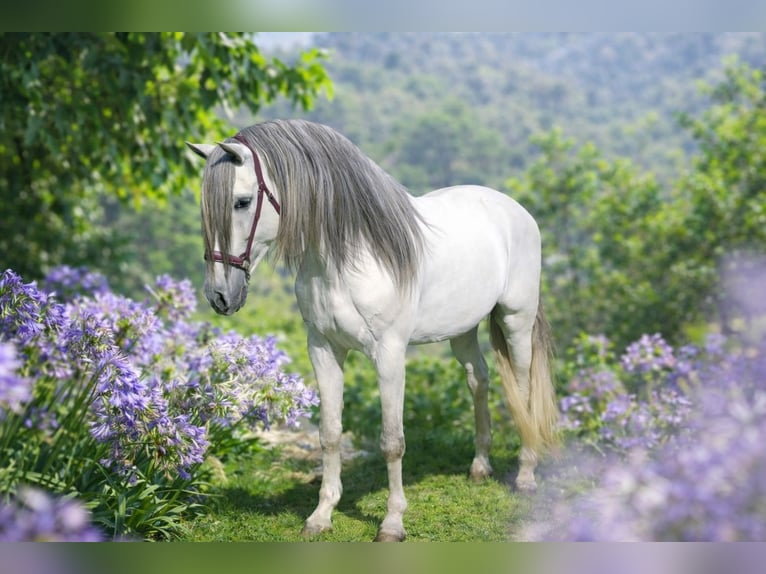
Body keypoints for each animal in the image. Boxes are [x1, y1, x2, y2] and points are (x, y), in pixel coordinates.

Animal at [186, 119, 558, 542]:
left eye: (242, 202)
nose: (219, 295)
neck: (349, 258)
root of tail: (514, 210)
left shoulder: (390, 355)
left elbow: (392, 441)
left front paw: (392, 523)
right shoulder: (324, 349)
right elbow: (330, 432)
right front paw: (321, 515)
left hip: (516, 320)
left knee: (523, 389)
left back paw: (525, 476)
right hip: (461, 330)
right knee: (478, 378)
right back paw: (479, 467)